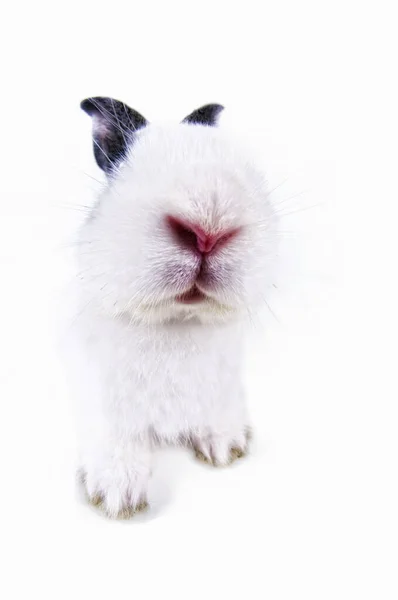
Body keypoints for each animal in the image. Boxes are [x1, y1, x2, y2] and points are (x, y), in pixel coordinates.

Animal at [70, 96, 276, 516]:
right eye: (129, 172)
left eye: (245, 170)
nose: (208, 230)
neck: (178, 321)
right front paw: (118, 494)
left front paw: (225, 447)